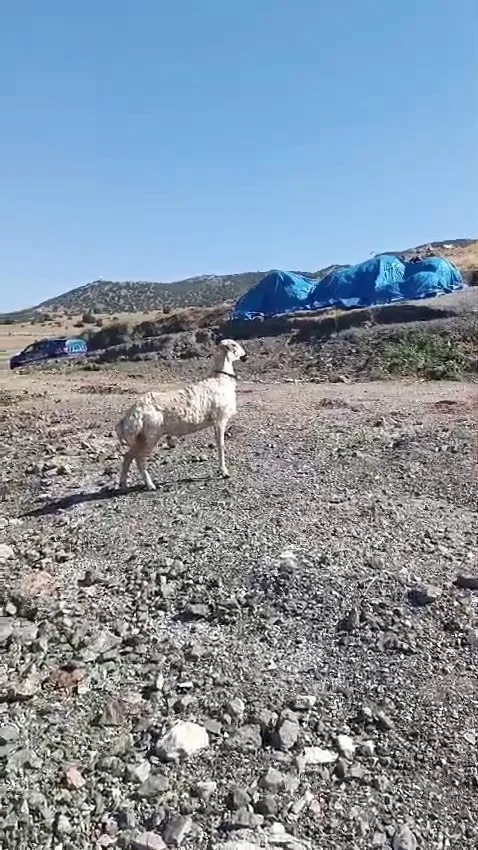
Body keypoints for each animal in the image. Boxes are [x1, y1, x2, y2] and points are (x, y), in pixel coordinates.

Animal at [116, 338, 248, 490]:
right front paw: (224, 472)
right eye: (234, 345)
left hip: (140, 438)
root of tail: (131, 415)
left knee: (128, 456)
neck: (220, 379)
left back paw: (123, 483)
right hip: (150, 436)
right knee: (139, 458)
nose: (245, 356)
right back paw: (150, 485)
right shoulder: (220, 419)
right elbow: (220, 445)